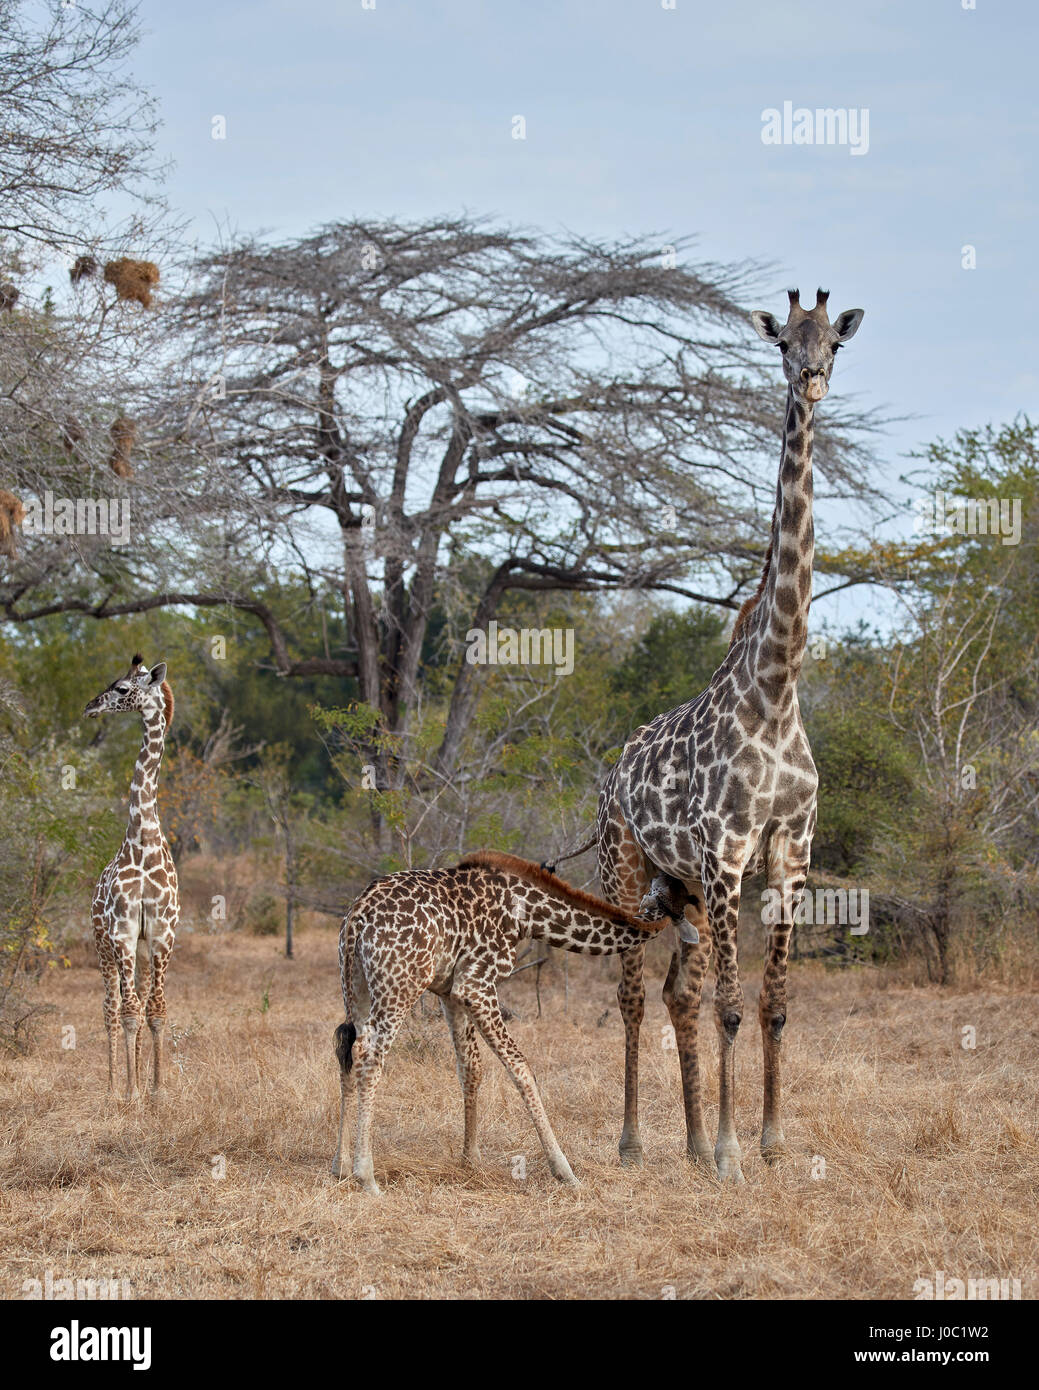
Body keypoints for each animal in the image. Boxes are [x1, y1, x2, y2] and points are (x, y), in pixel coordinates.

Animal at [331, 851, 692, 1194]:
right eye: (681, 891)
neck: (527, 913)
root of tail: (357, 916)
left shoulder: (450, 991)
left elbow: (471, 1067)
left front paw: (471, 1160)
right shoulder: (476, 984)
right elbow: (521, 1068)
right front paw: (565, 1171)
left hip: (357, 984)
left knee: (347, 1048)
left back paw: (341, 1165)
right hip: (402, 984)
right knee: (368, 1055)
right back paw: (366, 1176)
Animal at [597, 289, 864, 1181]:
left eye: (834, 344)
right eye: (782, 341)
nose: (810, 378)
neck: (776, 691)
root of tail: (611, 768)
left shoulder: (790, 852)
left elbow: (774, 1003)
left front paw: (771, 1141)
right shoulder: (725, 853)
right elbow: (731, 1005)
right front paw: (728, 1152)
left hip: (673, 884)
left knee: (674, 990)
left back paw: (680, 1138)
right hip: (625, 864)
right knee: (631, 992)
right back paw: (634, 1140)